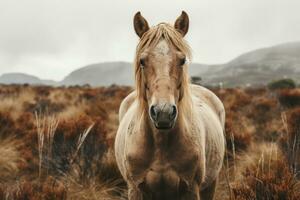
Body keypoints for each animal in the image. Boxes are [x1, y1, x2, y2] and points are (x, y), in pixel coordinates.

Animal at [115, 11, 225, 200]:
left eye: (182, 60)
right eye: (142, 61)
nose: (163, 113)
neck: (160, 143)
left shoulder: (191, 189)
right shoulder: (135, 189)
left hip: (211, 184)